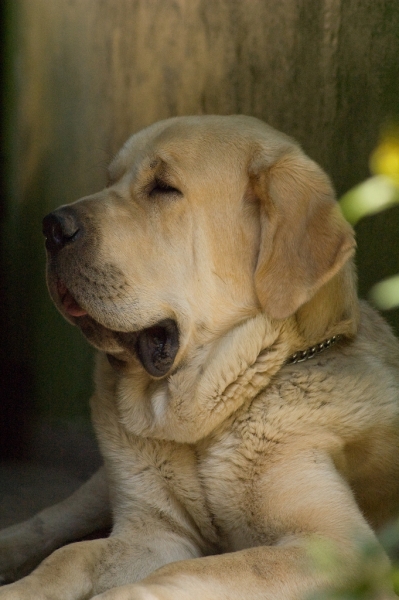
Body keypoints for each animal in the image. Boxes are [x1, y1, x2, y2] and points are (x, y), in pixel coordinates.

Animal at [0, 116, 399, 600]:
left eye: (163, 188)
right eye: (110, 181)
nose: (52, 227)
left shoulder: (337, 546)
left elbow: (195, 569)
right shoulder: (153, 531)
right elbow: (69, 556)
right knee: (51, 523)